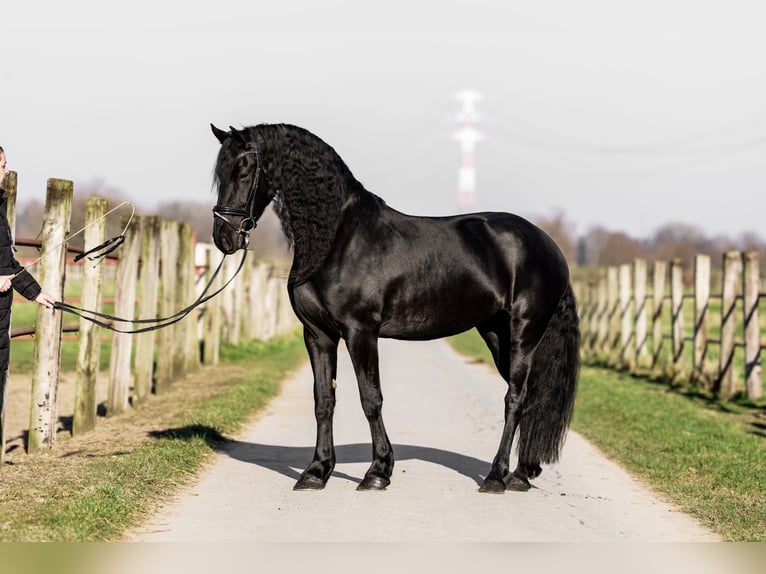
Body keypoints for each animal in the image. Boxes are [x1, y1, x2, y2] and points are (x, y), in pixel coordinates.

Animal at [210, 125, 584, 496]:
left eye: (244, 170)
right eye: (219, 172)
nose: (224, 237)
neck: (339, 238)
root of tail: (547, 245)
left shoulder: (360, 332)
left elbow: (370, 398)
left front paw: (377, 472)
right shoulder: (317, 335)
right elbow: (323, 400)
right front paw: (316, 472)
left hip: (524, 332)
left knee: (515, 398)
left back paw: (496, 477)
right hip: (495, 333)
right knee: (530, 397)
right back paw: (522, 473)